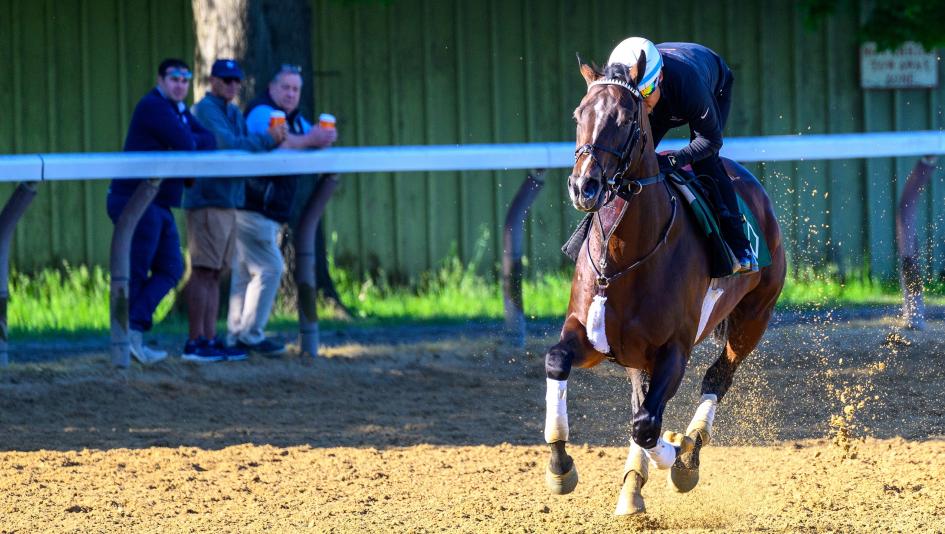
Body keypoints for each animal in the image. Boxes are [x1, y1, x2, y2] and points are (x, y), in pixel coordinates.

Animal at [542, 51, 787, 515]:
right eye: (579, 113)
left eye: (624, 118)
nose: (584, 186)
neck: (623, 256)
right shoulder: (591, 336)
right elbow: (557, 361)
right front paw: (560, 465)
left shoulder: (674, 350)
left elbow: (647, 426)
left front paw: (679, 454)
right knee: (643, 401)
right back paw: (632, 486)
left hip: (754, 318)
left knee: (716, 379)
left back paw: (687, 452)